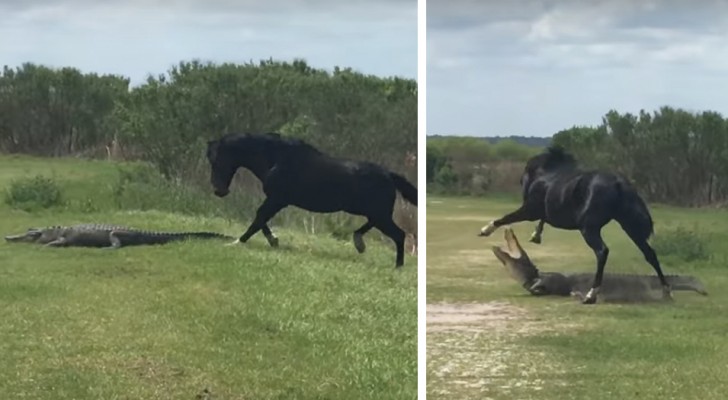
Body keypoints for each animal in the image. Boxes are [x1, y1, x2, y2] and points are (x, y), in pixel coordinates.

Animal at [208, 133, 418, 268]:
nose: (219, 191)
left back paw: (397, 266)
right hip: (371, 212)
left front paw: (237, 242)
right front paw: (273, 239)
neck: (276, 159)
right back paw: (360, 243)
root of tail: (389, 175)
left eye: (216, 160)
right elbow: (261, 219)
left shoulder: (277, 199)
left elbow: (259, 218)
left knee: (399, 235)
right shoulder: (276, 200)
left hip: (378, 213)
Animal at [478, 145, 672, 304]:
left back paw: (591, 295)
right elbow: (539, 220)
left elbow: (506, 218)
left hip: (589, 228)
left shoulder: (530, 211)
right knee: (650, 254)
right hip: (629, 227)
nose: (520, 182)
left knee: (602, 252)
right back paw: (666, 292)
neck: (546, 177)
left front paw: (485, 230)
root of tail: (619, 184)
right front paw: (535, 236)